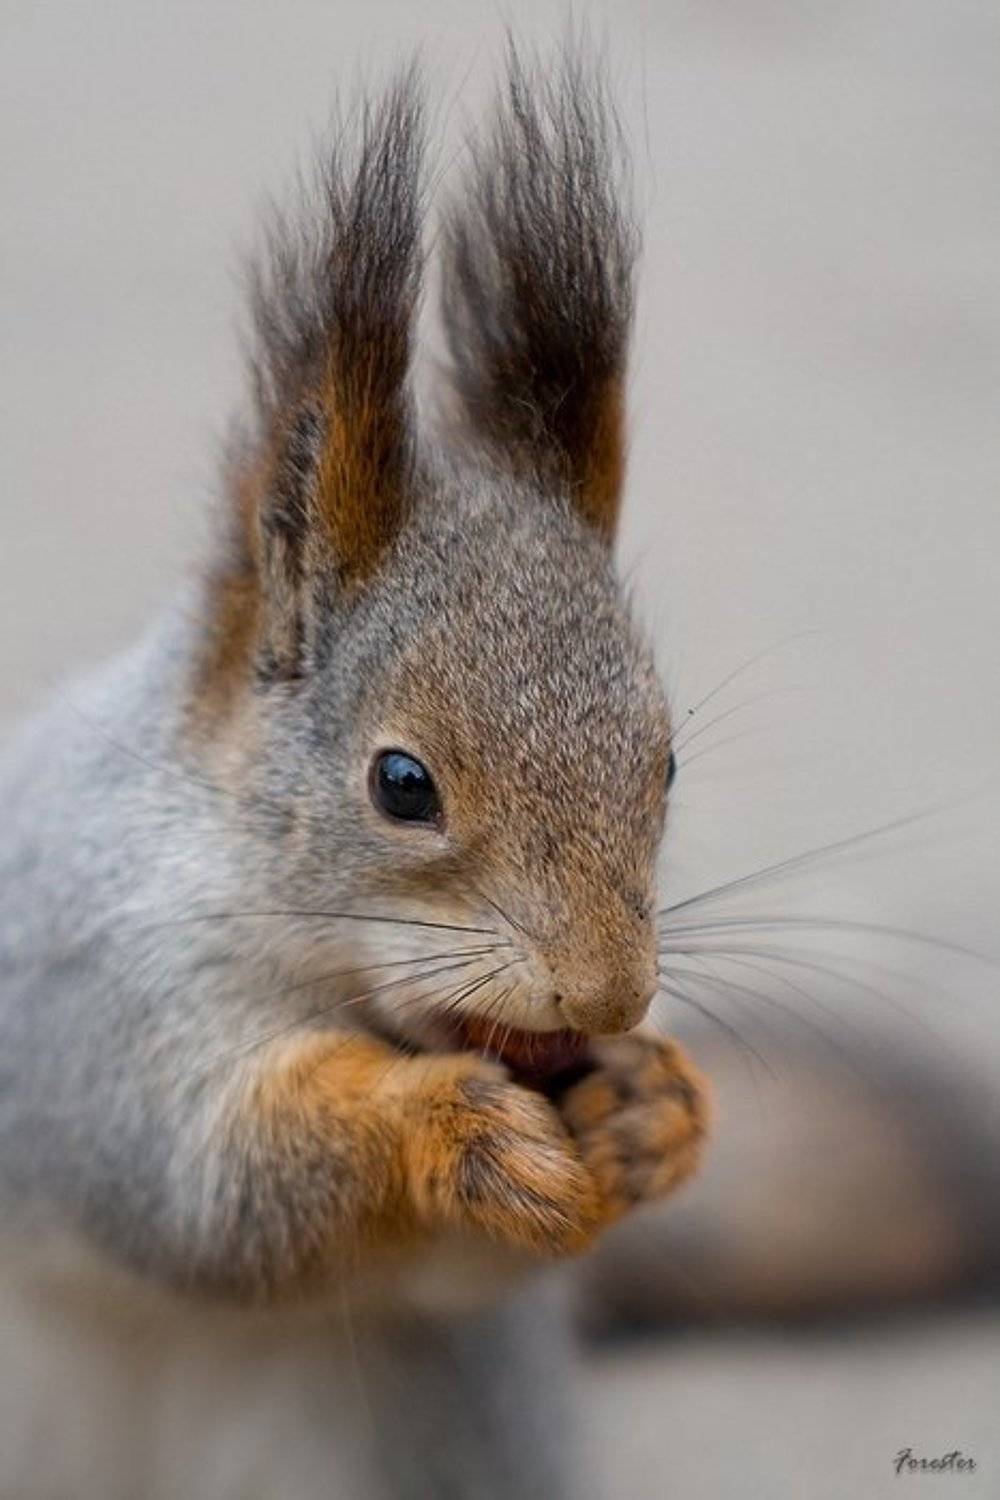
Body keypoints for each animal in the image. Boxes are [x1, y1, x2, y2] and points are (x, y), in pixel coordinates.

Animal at [0, 46, 708, 1500]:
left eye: (665, 760)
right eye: (400, 783)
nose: (609, 995)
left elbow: (438, 1273)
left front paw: (655, 1107)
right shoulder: (91, 1010)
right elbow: (212, 1186)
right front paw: (441, 1129)